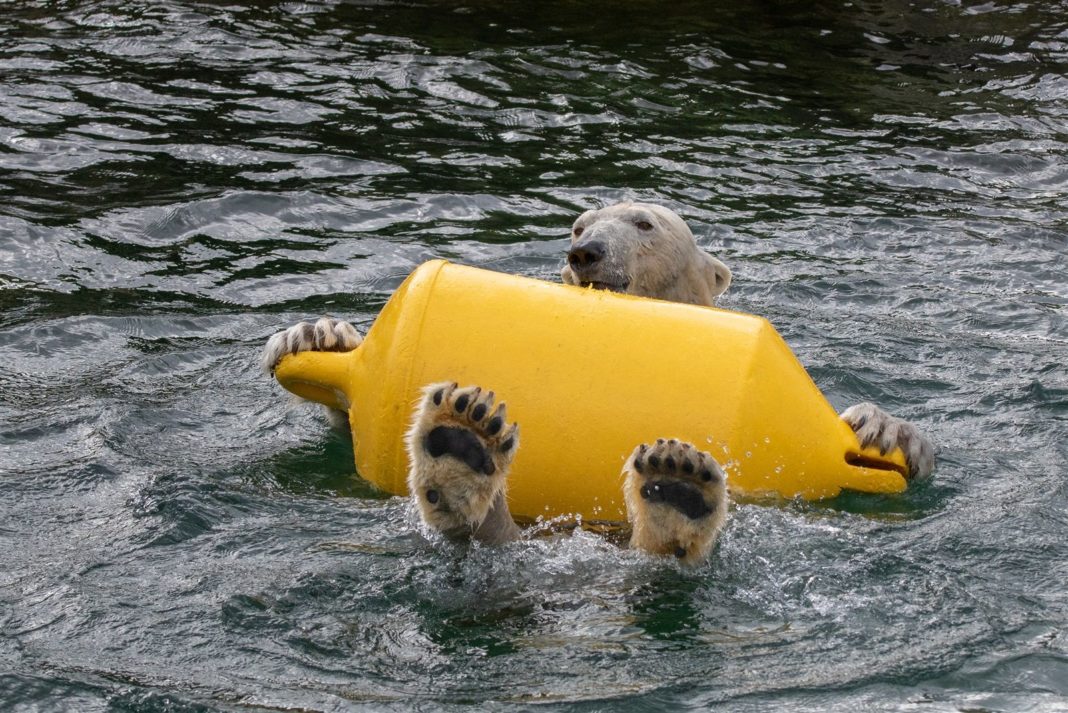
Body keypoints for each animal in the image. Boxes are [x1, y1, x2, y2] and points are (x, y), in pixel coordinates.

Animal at [264, 199, 935, 563]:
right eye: (578, 224)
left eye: (643, 223)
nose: (585, 251)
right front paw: (315, 336)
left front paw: (881, 431)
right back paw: (463, 450)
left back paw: (674, 497)